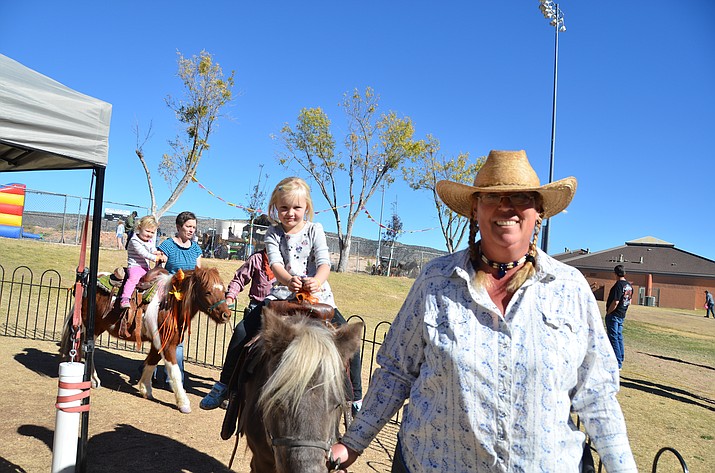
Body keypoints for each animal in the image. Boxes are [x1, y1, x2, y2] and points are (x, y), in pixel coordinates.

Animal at [60, 266, 232, 412]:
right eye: (208, 291)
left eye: (223, 290)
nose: (226, 315)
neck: (169, 304)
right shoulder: (167, 345)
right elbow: (175, 372)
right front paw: (183, 403)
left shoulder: (158, 343)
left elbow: (151, 362)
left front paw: (145, 389)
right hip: (90, 326)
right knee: (84, 348)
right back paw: (92, 379)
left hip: (98, 327)